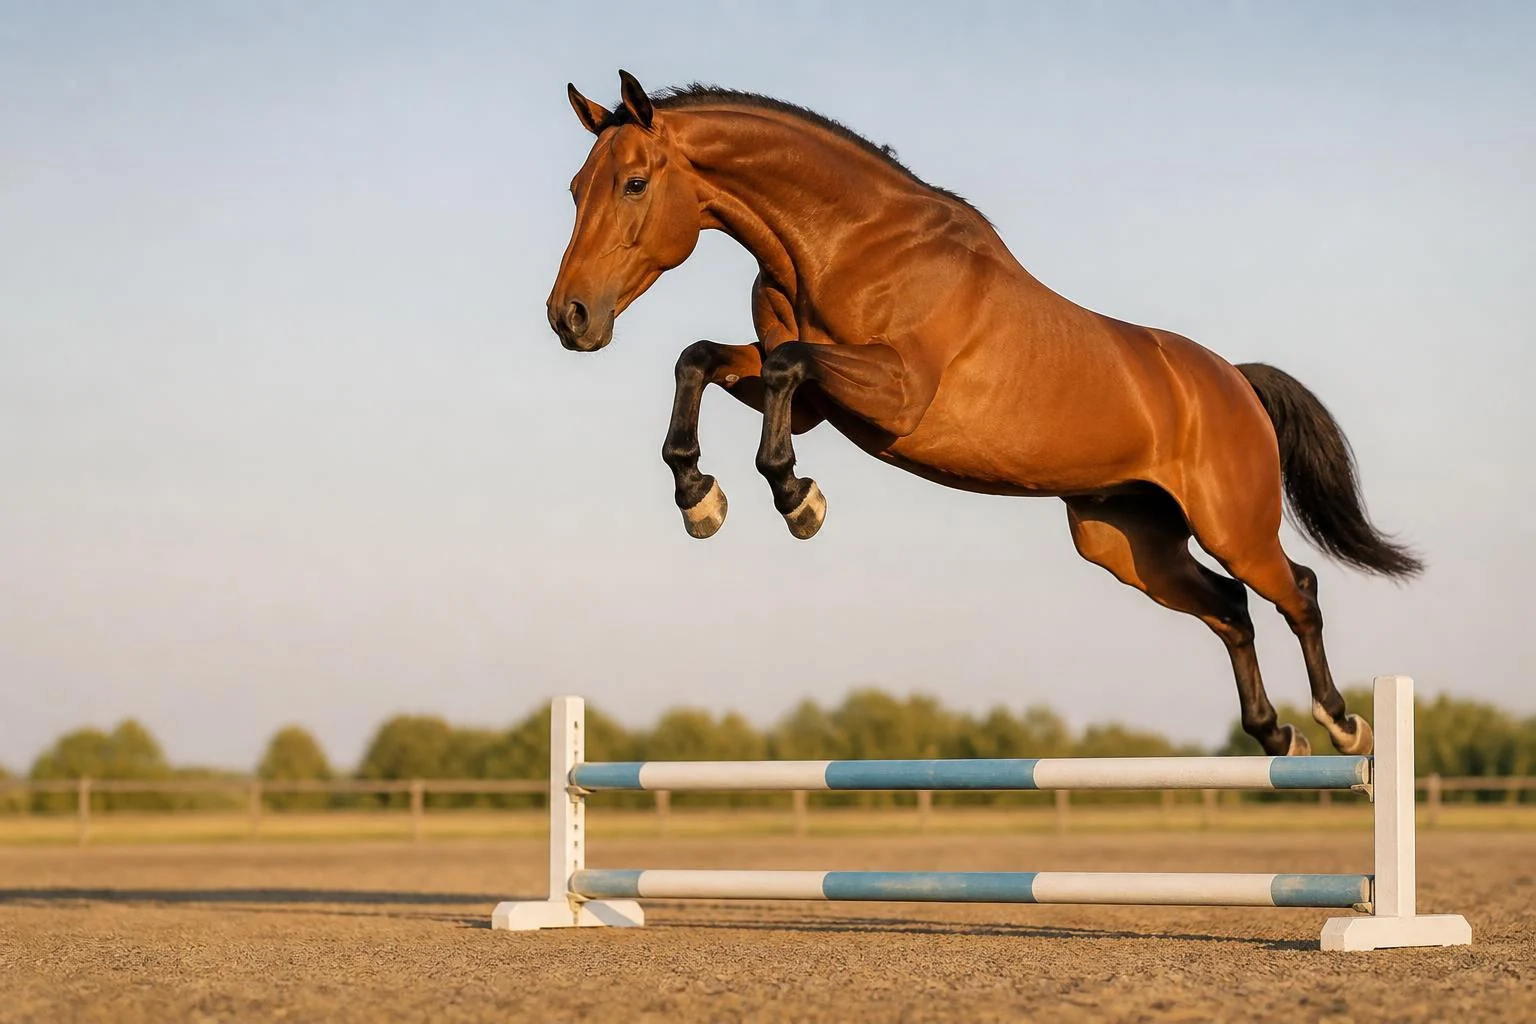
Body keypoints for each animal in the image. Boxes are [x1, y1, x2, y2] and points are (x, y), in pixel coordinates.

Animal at [545, 70, 1422, 759]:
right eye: (576, 189)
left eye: (633, 183)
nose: (569, 317)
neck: (847, 244)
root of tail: (1233, 382)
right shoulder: (811, 404)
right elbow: (699, 359)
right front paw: (701, 499)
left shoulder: (893, 394)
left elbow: (787, 374)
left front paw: (798, 501)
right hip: (1128, 543)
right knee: (1232, 610)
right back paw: (1275, 734)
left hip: (1232, 524)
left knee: (1296, 589)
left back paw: (1342, 725)